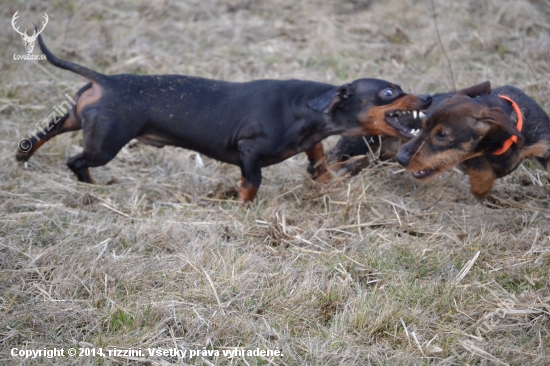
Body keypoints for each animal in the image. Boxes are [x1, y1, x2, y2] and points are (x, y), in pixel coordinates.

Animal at [16, 33, 432, 203]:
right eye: (389, 92)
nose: (428, 97)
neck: (304, 107)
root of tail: (106, 80)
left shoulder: (310, 143)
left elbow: (317, 159)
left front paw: (325, 176)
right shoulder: (249, 153)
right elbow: (252, 183)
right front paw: (240, 207)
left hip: (78, 120)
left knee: (41, 135)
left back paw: (25, 157)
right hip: (105, 144)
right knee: (77, 161)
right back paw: (93, 187)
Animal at [396, 82, 550, 199]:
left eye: (441, 134)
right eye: (423, 125)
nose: (400, 158)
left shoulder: (543, 145)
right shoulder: (474, 158)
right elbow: (481, 175)